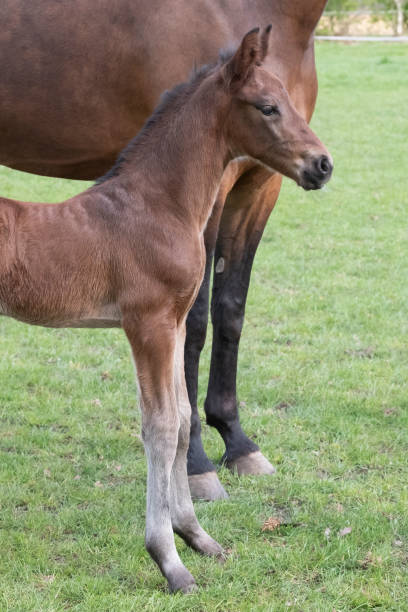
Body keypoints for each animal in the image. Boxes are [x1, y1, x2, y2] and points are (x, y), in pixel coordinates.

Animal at [0, 28, 332, 592]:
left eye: (290, 101)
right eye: (268, 107)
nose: (322, 165)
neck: (157, 205)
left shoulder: (174, 323)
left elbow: (178, 419)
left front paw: (197, 536)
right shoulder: (147, 323)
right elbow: (158, 427)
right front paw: (169, 559)